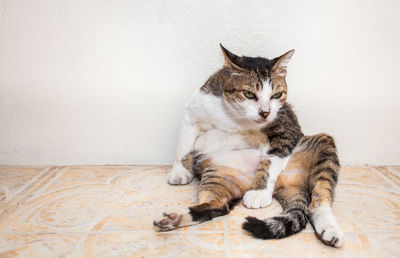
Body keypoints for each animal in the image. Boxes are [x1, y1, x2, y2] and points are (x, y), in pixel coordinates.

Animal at [153, 44, 344, 248]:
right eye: (249, 94)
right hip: (220, 173)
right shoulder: (193, 114)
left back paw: (329, 229)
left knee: (319, 200)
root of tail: (287, 185)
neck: (234, 118)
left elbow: (271, 160)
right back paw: (174, 219)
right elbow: (183, 147)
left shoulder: (286, 129)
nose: (265, 113)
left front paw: (259, 193)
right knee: (218, 206)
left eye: (276, 95)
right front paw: (179, 171)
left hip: (322, 144)